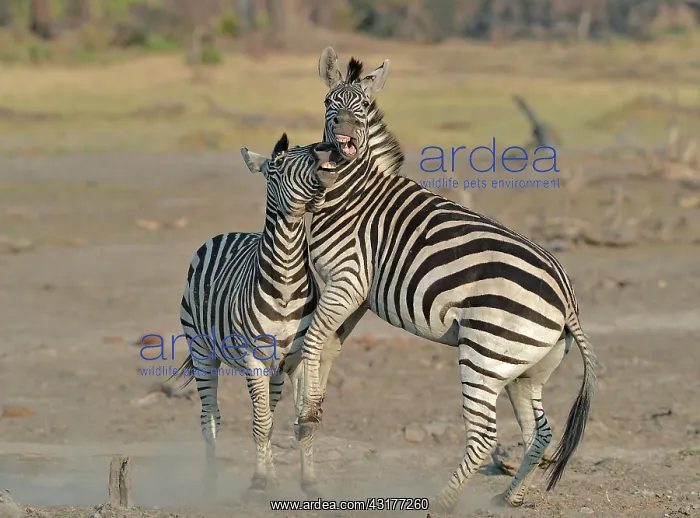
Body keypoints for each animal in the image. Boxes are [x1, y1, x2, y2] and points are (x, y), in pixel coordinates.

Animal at [173, 134, 365, 499]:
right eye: (276, 165)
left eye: (311, 149)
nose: (326, 152)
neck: (286, 281)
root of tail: (227, 233)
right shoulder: (253, 358)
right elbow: (260, 424)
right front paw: (258, 481)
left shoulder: (299, 360)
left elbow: (298, 423)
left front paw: (307, 481)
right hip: (203, 351)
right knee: (210, 417)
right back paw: (211, 483)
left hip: (276, 369)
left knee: (268, 415)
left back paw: (273, 479)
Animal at [296, 47, 598, 513]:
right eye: (331, 103)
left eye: (361, 107)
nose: (343, 131)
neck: (352, 191)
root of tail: (567, 298)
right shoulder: (358, 297)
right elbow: (328, 347)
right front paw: (310, 407)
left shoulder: (347, 280)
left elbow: (313, 341)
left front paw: (307, 409)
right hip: (526, 372)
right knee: (540, 434)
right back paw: (508, 497)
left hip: (484, 356)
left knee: (485, 436)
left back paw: (443, 500)